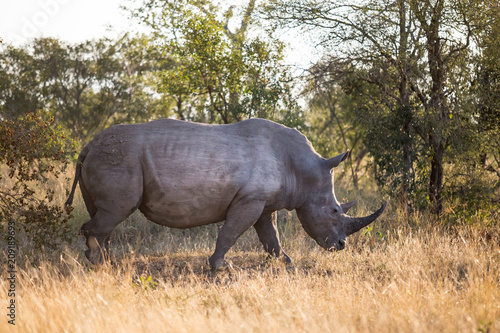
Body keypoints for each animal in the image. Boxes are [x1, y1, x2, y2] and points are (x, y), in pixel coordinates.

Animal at [65, 118, 386, 268]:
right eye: (334, 211)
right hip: (119, 159)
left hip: (106, 158)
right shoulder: (250, 199)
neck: (304, 171)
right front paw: (221, 266)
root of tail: (88, 146)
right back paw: (99, 264)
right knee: (116, 211)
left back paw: (106, 262)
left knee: (105, 215)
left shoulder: (262, 201)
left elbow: (270, 236)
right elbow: (231, 232)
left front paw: (286, 262)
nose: (341, 246)